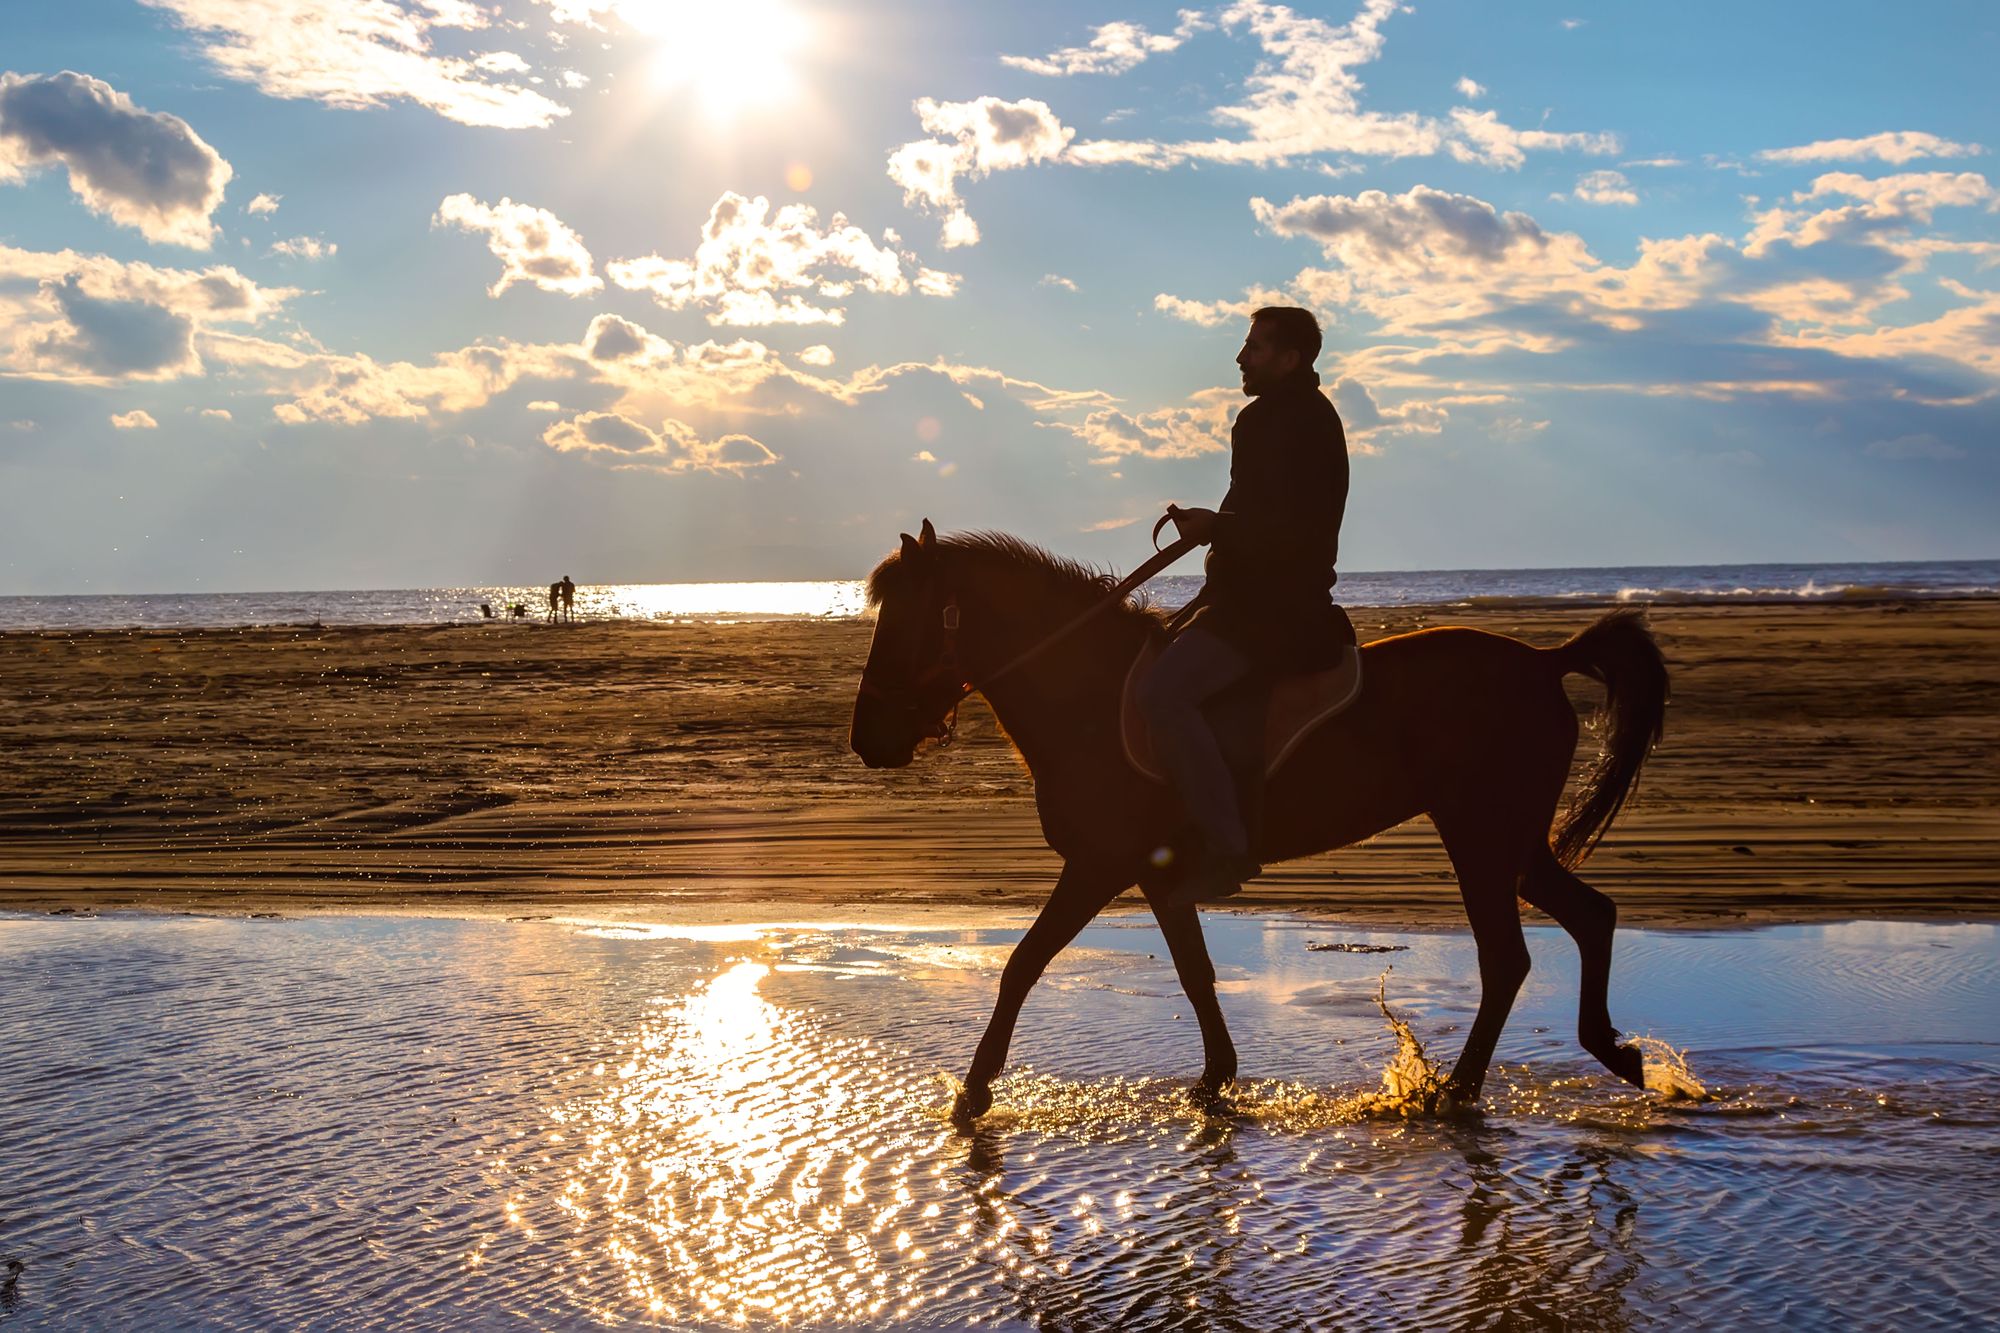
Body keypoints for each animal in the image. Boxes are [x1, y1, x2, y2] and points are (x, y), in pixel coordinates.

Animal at [852, 512, 1664, 1112]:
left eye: (901, 625)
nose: (866, 741)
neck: (1089, 695)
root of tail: (1543, 661)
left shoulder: (1098, 865)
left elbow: (1023, 963)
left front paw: (974, 1090)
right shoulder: (1158, 876)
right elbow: (1194, 973)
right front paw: (1215, 1080)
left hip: (1481, 838)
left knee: (1506, 958)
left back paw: (1456, 1093)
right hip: (1512, 841)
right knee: (1590, 915)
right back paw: (1611, 1053)